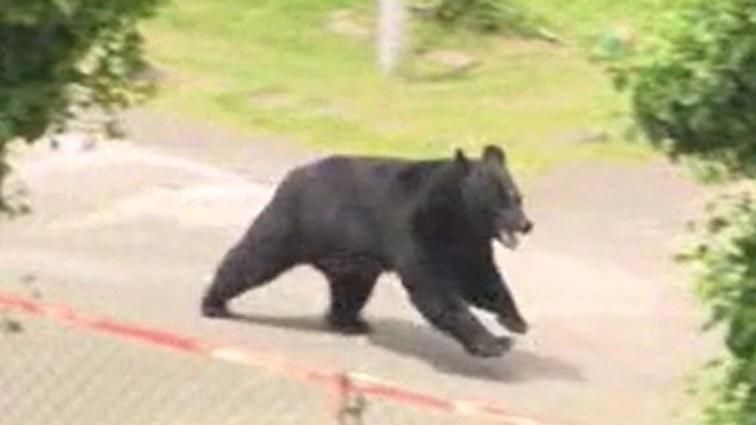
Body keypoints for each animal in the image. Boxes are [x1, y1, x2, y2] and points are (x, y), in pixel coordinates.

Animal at [201, 145, 533, 357]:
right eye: (502, 198)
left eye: (517, 196)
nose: (526, 224)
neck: (458, 214)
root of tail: (294, 174)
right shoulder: (417, 227)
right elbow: (433, 288)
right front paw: (494, 343)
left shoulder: (469, 243)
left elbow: (481, 279)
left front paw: (515, 321)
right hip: (293, 224)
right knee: (253, 258)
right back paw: (213, 303)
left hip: (351, 259)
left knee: (352, 290)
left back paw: (349, 322)